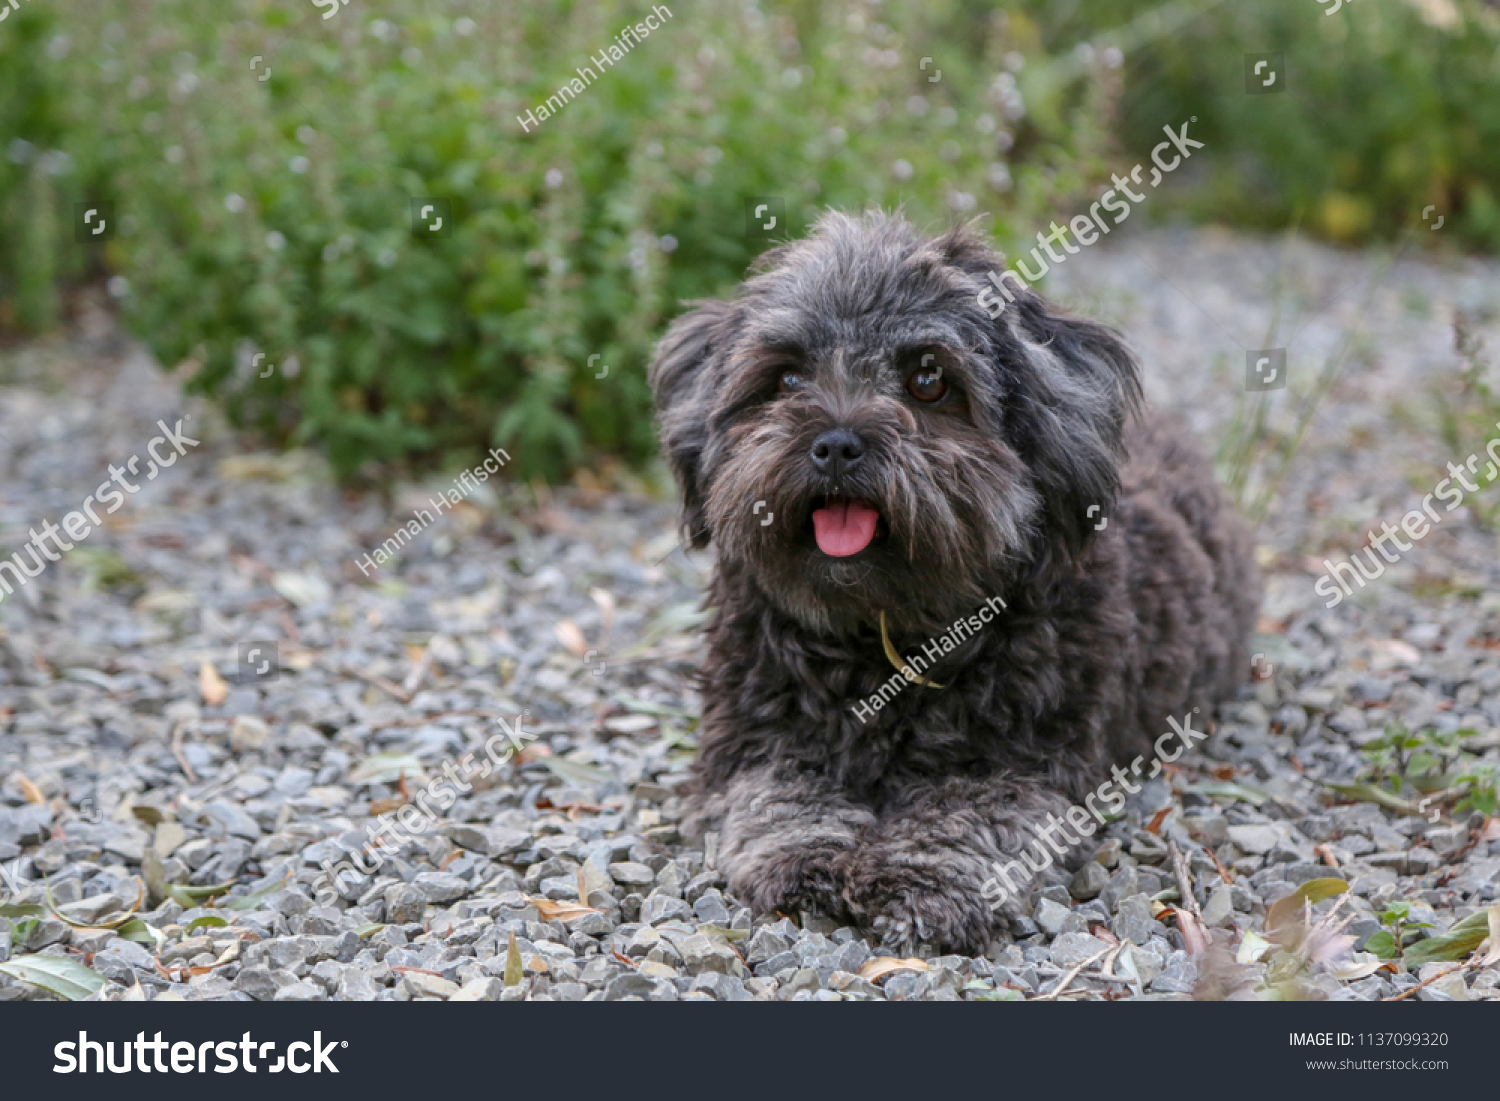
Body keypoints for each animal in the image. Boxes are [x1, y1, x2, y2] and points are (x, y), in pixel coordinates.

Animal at [651, 211, 1260, 954]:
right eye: (787, 376)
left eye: (928, 381)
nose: (836, 442)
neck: (882, 634)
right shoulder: (752, 734)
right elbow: (777, 792)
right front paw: (807, 854)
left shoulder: (1021, 762)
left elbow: (968, 816)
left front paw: (922, 880)